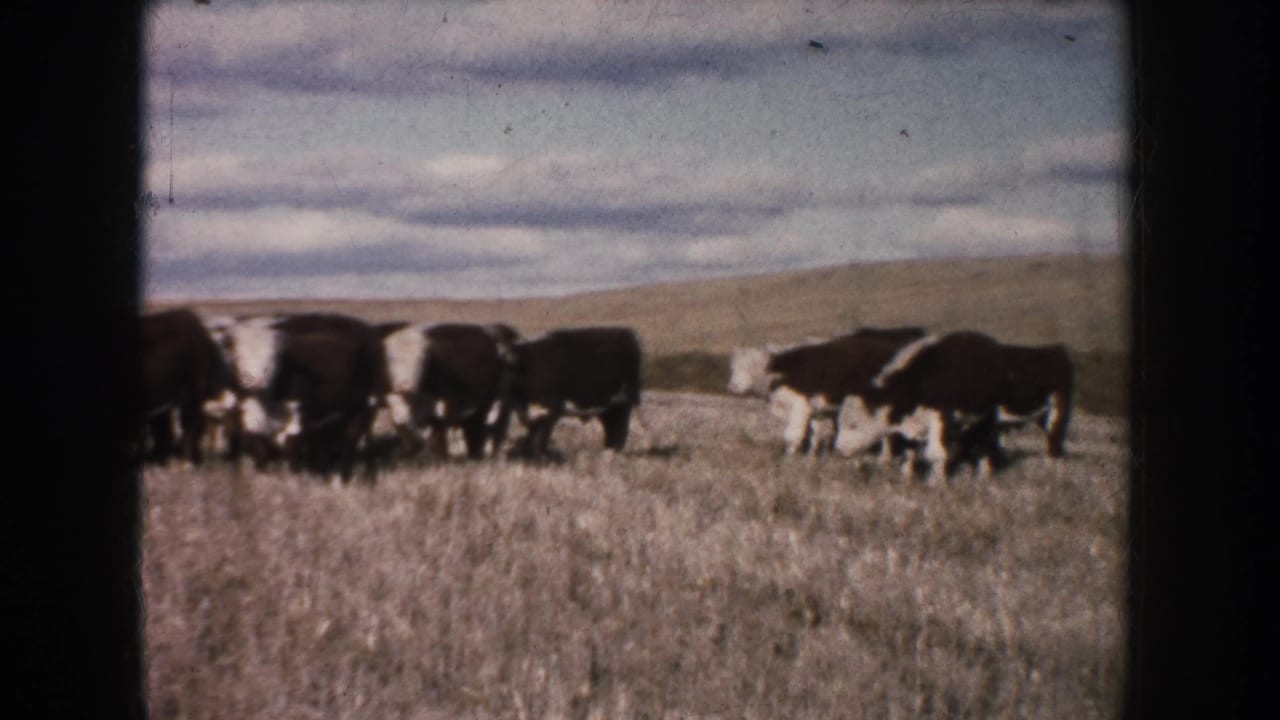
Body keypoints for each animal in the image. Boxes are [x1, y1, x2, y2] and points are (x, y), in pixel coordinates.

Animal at [140, 308, 238, 466]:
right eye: (221, 423)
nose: (215, 458)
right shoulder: (191, 395)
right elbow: (189, 426)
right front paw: (187, 461)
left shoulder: (163, 404)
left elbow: (163, 432)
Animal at [505, 327, 643, 460]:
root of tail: (631, 336)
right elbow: (534, 424)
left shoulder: (554, 404)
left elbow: (543, 426)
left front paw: (541, 452)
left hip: (626, 399)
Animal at [727, 327, 928, 457]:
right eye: (733, 367)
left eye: (751, 366)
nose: (733, 386)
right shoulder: (815, 410)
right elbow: (815, 434)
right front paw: (813, 456)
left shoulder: (800, 407)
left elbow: (792, 434)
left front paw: (790, 459)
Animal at [834, 331, 1074, 482]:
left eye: (853, 424)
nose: (839, 449)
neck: (922, 378)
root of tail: (1055, 351)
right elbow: (912, 451)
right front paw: (908, 476)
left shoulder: (944, 417)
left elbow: (936, 453)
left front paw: (937, 482)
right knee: (988, 445)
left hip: (1056, 413)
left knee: (1054, 443)